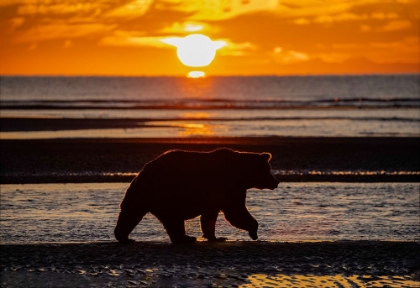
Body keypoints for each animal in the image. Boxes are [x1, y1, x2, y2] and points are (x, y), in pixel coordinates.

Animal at [115, 147, 278, 244]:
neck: (242, 175)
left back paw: (124, 237)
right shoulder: (228, 186)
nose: (276, 182)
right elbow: (235, 212)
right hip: (168, 192)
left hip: (140, 195)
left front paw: (216, 237)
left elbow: (209, 217)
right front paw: (254, 231)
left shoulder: (215, 196)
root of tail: (143, 172)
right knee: (173, 218)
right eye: (269, 170)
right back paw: (185, 238)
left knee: (130, 214)